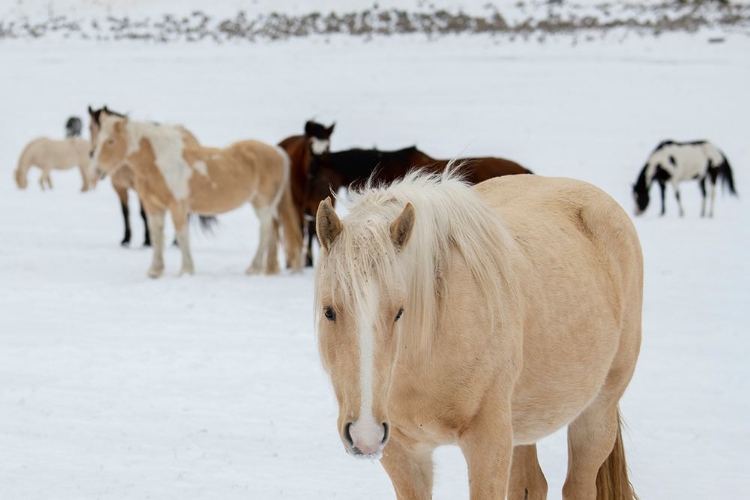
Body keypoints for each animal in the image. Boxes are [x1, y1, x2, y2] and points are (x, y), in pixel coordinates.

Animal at [92, 114, 304, 280]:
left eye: (110, 141)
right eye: (98, 138)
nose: (96, 171)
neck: (159, 163)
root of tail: (279, 152)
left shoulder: (178, 207)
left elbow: (182, 236)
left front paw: (186, 271)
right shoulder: (154, 207)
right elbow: (156, 236)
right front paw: (155, 270)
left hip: (263, 204)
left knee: (265, 230)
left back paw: (254, 267)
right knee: (273, 229)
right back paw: (268, 269)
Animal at [280, 119, 336, 268]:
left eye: (327, 147)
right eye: (310, 146)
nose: (315, 172)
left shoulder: (316, 202)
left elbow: (314, 229)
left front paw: (310, 260)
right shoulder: (297, 205)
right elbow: (300, 229)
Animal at [314, 170, 644, 498]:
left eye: (399, 311)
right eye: (329, 311)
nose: (365, 434)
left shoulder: (489, 443)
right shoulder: (403, 452)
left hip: (597, 413)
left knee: (578, 483)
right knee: (530, 484)